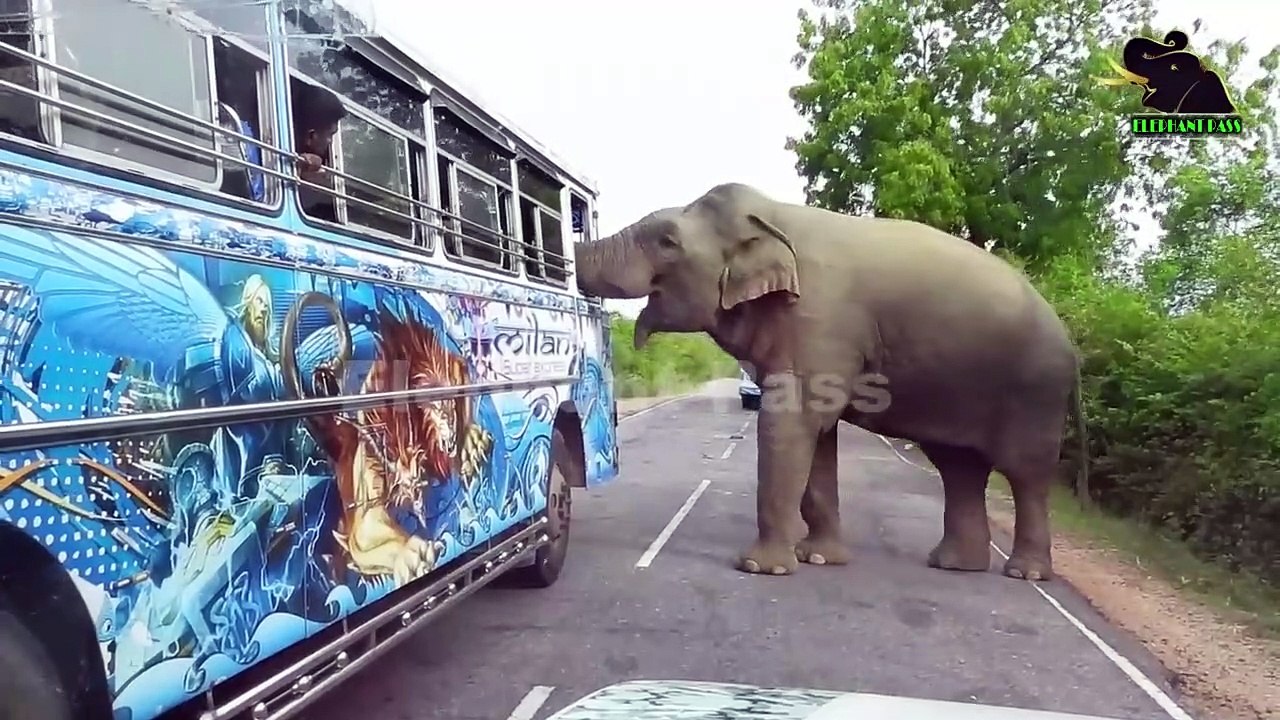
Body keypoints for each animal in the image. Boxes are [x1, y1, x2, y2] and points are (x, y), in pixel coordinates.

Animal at [573, 183, 1086, 581]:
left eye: (667, 242)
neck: (773, 217)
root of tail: (1071, 342)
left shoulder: (818, 318)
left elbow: (791, 423)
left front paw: (761, 568)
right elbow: (816, 436)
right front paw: (817, 559)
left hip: (1036, 391)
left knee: (1025, 472)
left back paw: (1024, 573)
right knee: (959, 467)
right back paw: (954, 565)